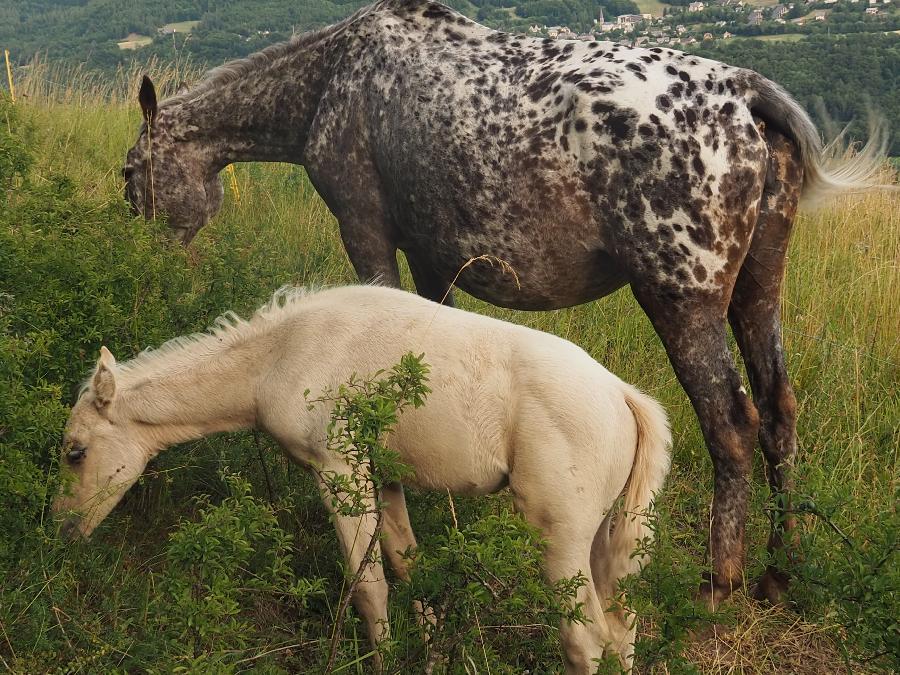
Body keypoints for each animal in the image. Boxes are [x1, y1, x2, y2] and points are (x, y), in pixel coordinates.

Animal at [53, 284, 671, 672]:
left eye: (76, 452)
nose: (61, 531)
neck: (280, 356)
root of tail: (624, 395)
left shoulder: (338, 469)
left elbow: (369, 587)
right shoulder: (386, 475)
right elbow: (410, 569)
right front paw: (431, 657)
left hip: (559, 538)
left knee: (586, 639)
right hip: (602, 542)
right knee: (623, 628)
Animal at [122, 0, 891, 606]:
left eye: (131, 171)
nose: (145, 259)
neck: (324, 82)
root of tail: (745, 94)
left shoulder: (366, 231)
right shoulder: (435, 259)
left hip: (683, 299)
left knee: (732, 422)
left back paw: (720, 580)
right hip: (758, 288)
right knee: (780, 411)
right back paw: (778, 575)